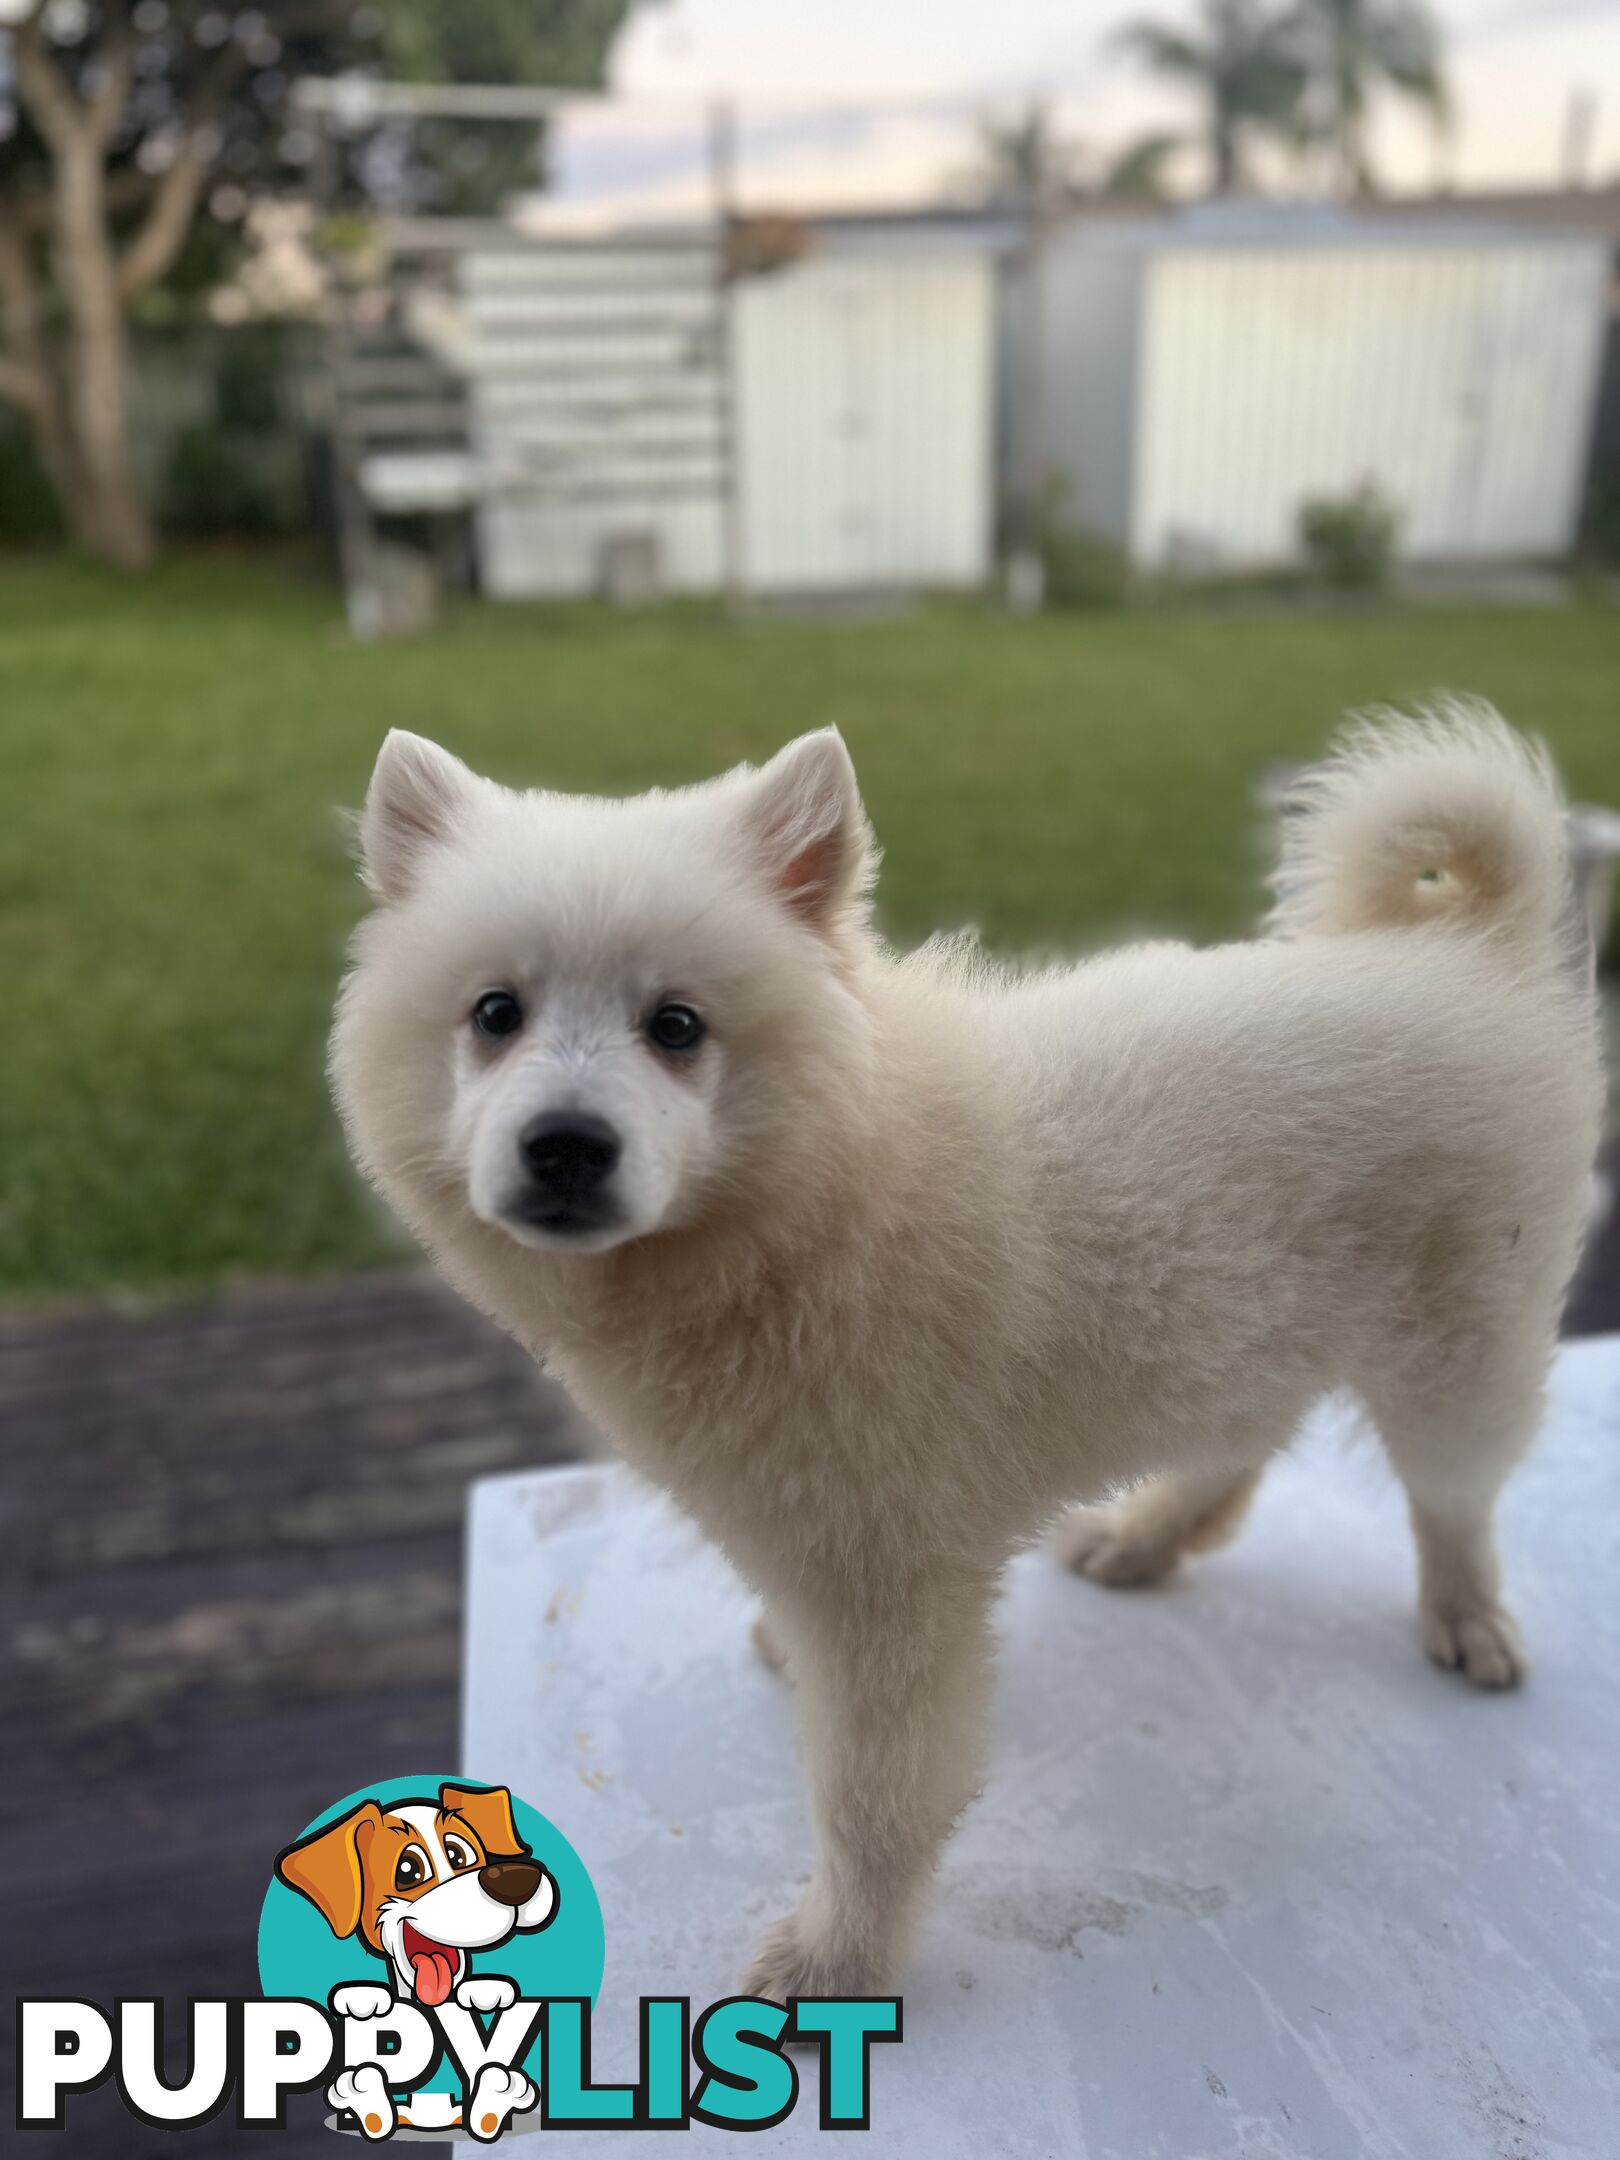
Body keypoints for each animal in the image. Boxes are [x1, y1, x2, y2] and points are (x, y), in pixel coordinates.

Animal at [330, 712, 1598, 2004]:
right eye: (495, 1014)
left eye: (676, 1027)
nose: (567, 1146)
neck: (818, 1200)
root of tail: (1477, 952)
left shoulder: (894, 1584)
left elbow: (873, 1806)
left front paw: (836, 1963)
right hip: (1239, 1322)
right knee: (1246, 1441)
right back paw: (1147, 1537)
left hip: (1459, 1346)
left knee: (1453, 1493)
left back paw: (1466, 1617)